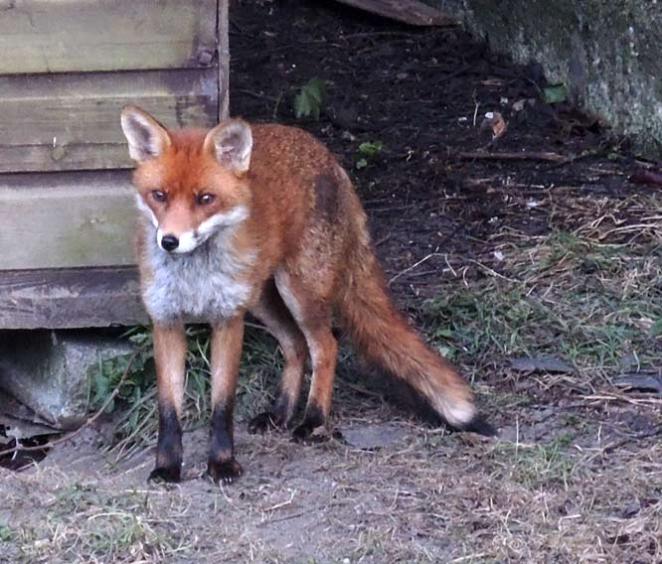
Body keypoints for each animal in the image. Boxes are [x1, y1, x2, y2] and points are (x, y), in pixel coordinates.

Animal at [119, 105, 494, 484]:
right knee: (296, 346)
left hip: (299, 293)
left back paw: (313, 420)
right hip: (263, 299)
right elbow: (168, 410)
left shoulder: (228, 319)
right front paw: (167, 467)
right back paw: (281, 413)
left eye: (205, 199)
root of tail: (328, 157)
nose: (169, 241)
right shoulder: (166, 320)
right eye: (159, 195)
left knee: (326, 346)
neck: (193, 277)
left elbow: (222, 405)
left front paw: (222, 463)